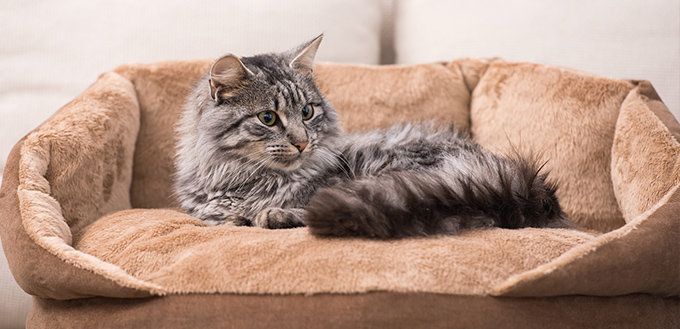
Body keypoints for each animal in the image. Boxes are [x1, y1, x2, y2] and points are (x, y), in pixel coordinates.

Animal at [173, 34, 572, 237]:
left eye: (307, 112)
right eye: (268, 118)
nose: (302, 142)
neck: (242, 178)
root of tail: (525, 185)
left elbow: (276, 210)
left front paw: (270, 214)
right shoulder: (206, 212)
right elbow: (221, 219)